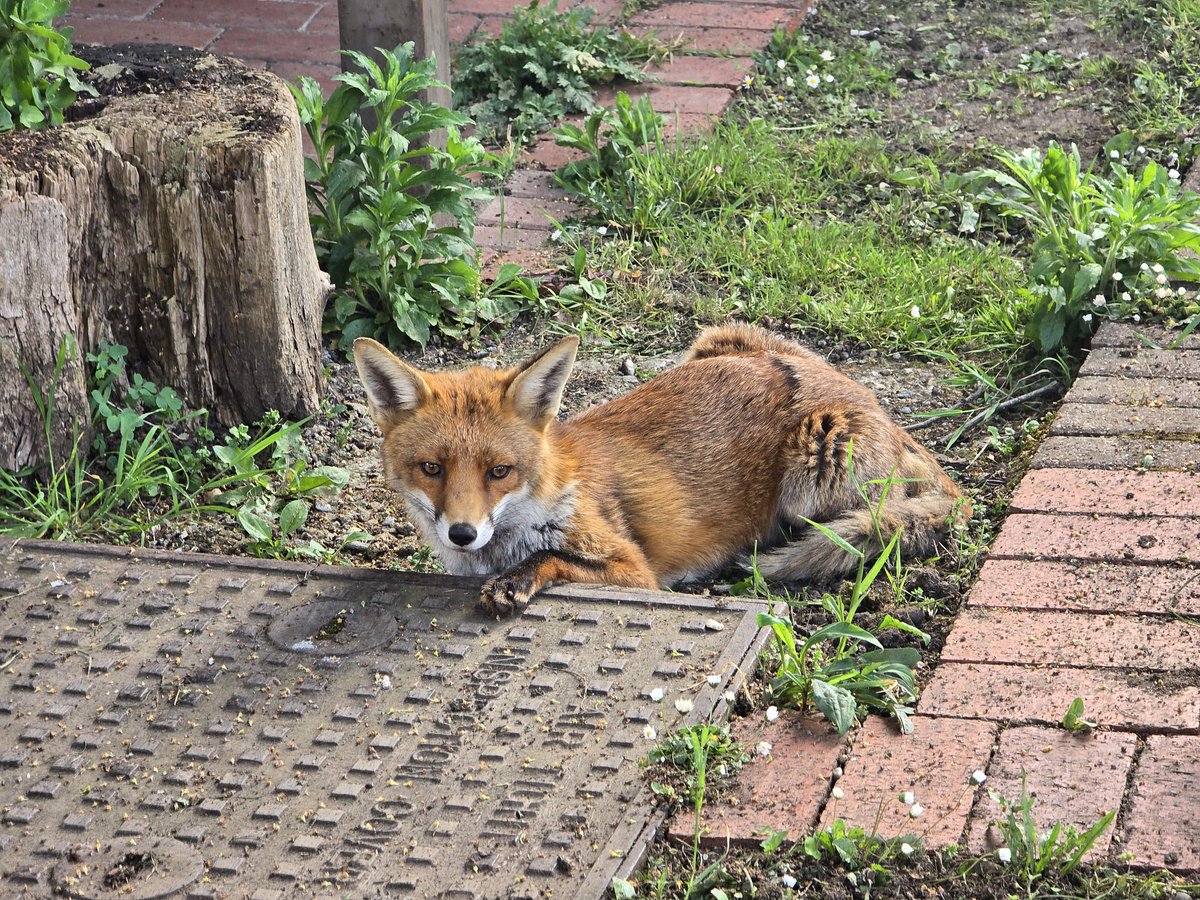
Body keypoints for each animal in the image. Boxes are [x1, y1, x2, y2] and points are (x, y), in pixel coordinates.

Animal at [350, 326, 969, 619]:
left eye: (500, 470)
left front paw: (518, 579)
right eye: (431, 468)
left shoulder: (635, 571)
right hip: (711, 339)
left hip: (809, 476)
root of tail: (882, 408)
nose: (462, 532)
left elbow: (552, 558)